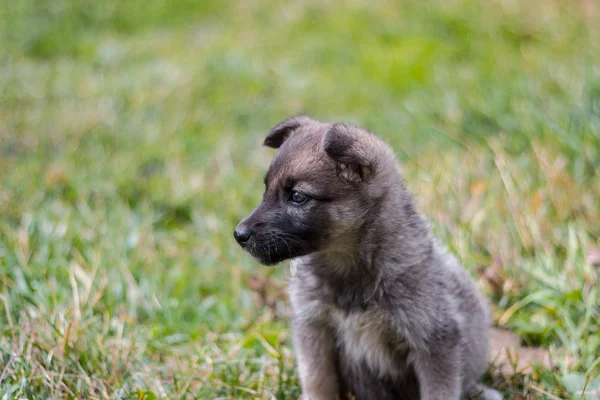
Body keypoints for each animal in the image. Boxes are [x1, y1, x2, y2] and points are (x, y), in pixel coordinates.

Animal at [234, 115, 502, 400]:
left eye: (297, 196)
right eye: (266, 190)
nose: (239, 234)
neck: (351, 269)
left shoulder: (433, 339)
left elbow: (438, 392)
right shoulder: (314, 329)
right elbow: (318, 382)